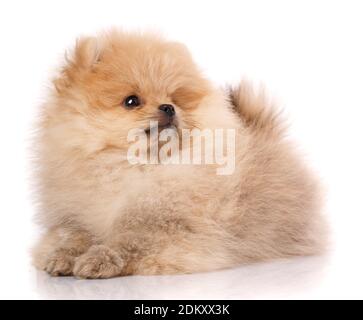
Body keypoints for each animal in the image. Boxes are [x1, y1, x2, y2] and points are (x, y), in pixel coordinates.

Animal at [32, 30, 328, 278]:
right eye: (131, 101)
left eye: (174, 98)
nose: (168, 107)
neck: (131, 167)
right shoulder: (74, 217)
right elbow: (72, 236)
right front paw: (61, 257)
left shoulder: (169, 228)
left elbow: (129, 241)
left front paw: (99, 259)